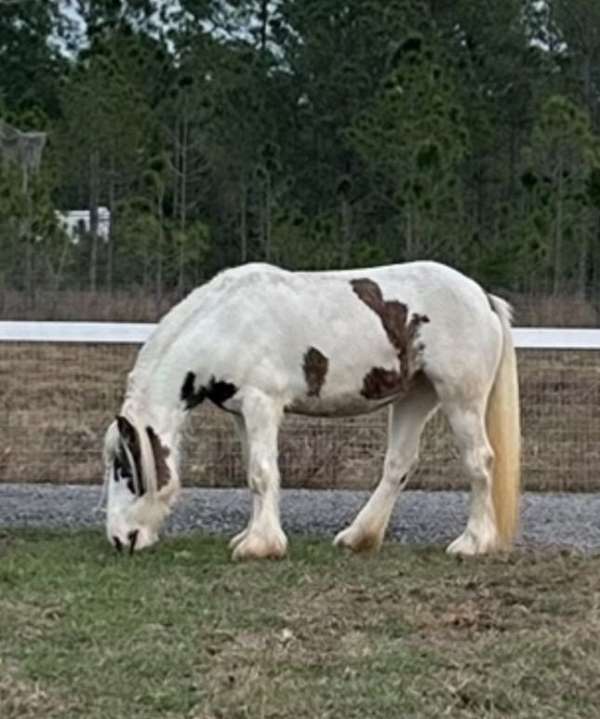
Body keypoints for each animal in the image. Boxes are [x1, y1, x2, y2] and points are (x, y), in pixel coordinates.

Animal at [103, 262, 520, 560]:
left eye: (124, 469)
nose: (120, 539)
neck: (227, 323)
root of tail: (482, 297)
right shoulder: (241, 413)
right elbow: (251, 472)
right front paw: (251, 536)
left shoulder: (262, 405)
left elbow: (262, 473)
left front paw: (260, 546)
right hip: (416, 396)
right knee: (398, 465)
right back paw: (358, 537)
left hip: (460, 399)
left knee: (480, 461)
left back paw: (472, 543)